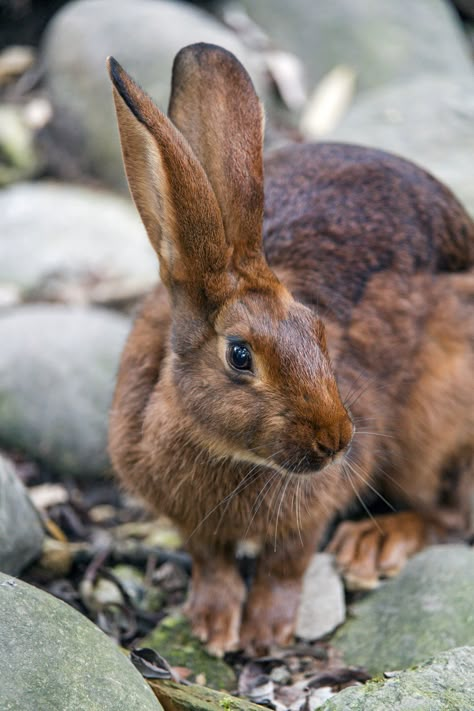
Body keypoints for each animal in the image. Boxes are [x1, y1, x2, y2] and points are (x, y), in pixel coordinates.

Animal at [107, 43, 474, 656]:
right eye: (239, 355)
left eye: (318, 330)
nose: (337, 441)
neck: (223, 450)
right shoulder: (191, 523)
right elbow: (211, 560)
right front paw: (213, 627)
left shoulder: (313, 510)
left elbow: (287, 563)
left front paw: (264, 635)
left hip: (439, 422)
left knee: (450, 513)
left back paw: (373, 544)